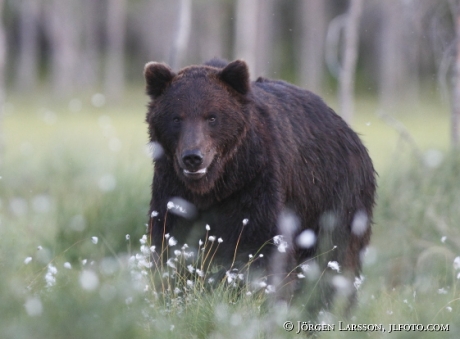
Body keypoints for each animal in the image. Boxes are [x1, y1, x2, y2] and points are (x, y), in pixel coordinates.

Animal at [145, 59, 378, 316]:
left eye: (212, 117)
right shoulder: (173, 190)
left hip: (333, 197)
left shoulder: (255, 185)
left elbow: (260, 247)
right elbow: (171, 241)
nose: (193, 157)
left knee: (336, 256)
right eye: (177, 118)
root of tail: (351, 133)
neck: (216, 186)